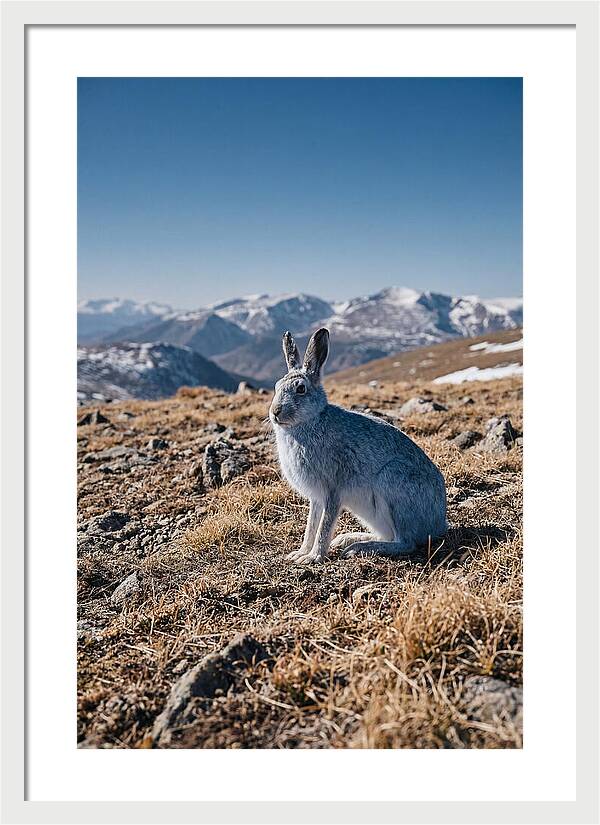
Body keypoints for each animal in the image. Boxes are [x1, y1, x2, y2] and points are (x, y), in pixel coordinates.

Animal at [269, 327, 447, 563]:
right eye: (276, 386)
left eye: (300, 389)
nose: (275, 412)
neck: (310, 421)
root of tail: (439, 524)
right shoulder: (316, 498)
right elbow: (311, 525)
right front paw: (300, 553)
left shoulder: (333, 490)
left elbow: (324, 526)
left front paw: (314, 557)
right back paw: (348, 539)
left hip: (393, 484)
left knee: (405, 542)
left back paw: (359, 548)